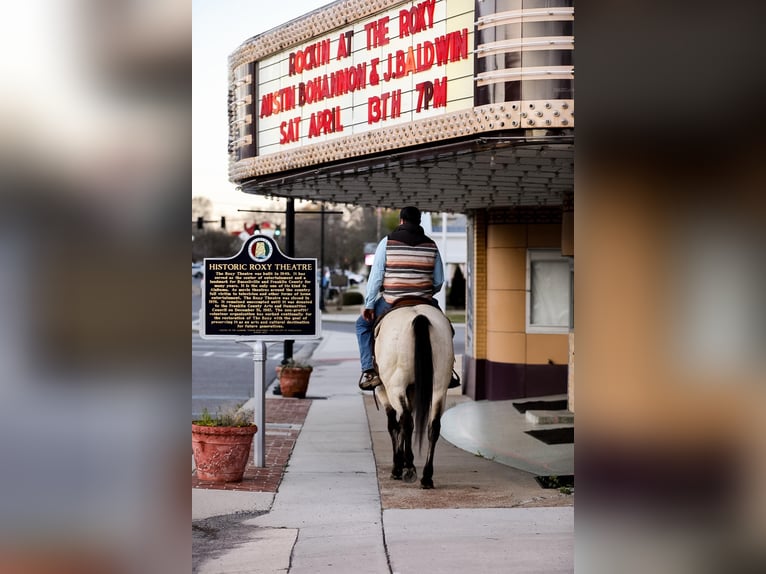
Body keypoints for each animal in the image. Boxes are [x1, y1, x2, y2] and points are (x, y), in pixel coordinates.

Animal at [374, 304, 456, 488]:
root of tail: (419, 317)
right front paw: (403, 461)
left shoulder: (383, 390)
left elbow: (394, 425)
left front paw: (399, 465)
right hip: (439, 387)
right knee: (433, 426)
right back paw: (426, 476)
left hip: (395, 386)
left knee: (406, 421)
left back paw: (409, 468)